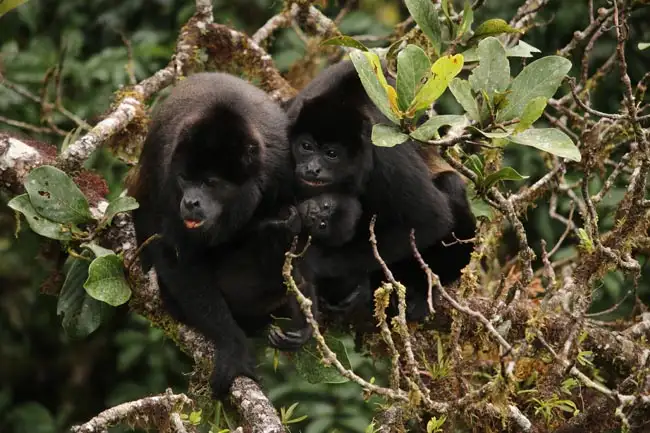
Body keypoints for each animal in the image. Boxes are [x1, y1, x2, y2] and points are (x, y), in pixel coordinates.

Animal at [127, 71, 314, 398]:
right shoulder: (167, 178)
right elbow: (178, 257)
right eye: (185, 179)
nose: (190, 201)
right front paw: (234, 347)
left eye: (210, 182)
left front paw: (304, 315)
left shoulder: (283, 168)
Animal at [286, 60, 474, 322]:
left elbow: (430, 219)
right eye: (306, 147)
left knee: (451, 183)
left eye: (331, 154)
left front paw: (315, 262)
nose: (312, 169)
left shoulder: (384, 154)